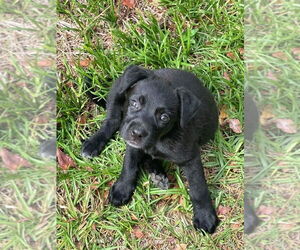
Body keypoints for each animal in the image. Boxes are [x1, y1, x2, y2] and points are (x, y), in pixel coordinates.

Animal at [81, 65, 219, 233]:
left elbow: (198, 187)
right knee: (112, 121)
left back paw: (157, 174)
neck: (159, 140)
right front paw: (122, 188)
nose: (136, 133)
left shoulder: (190, 157)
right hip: (117, 92)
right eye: (134, 103)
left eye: (164, 117)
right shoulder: (133, 145)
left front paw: (204, 215)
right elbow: (129, 164)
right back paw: (94, 143)